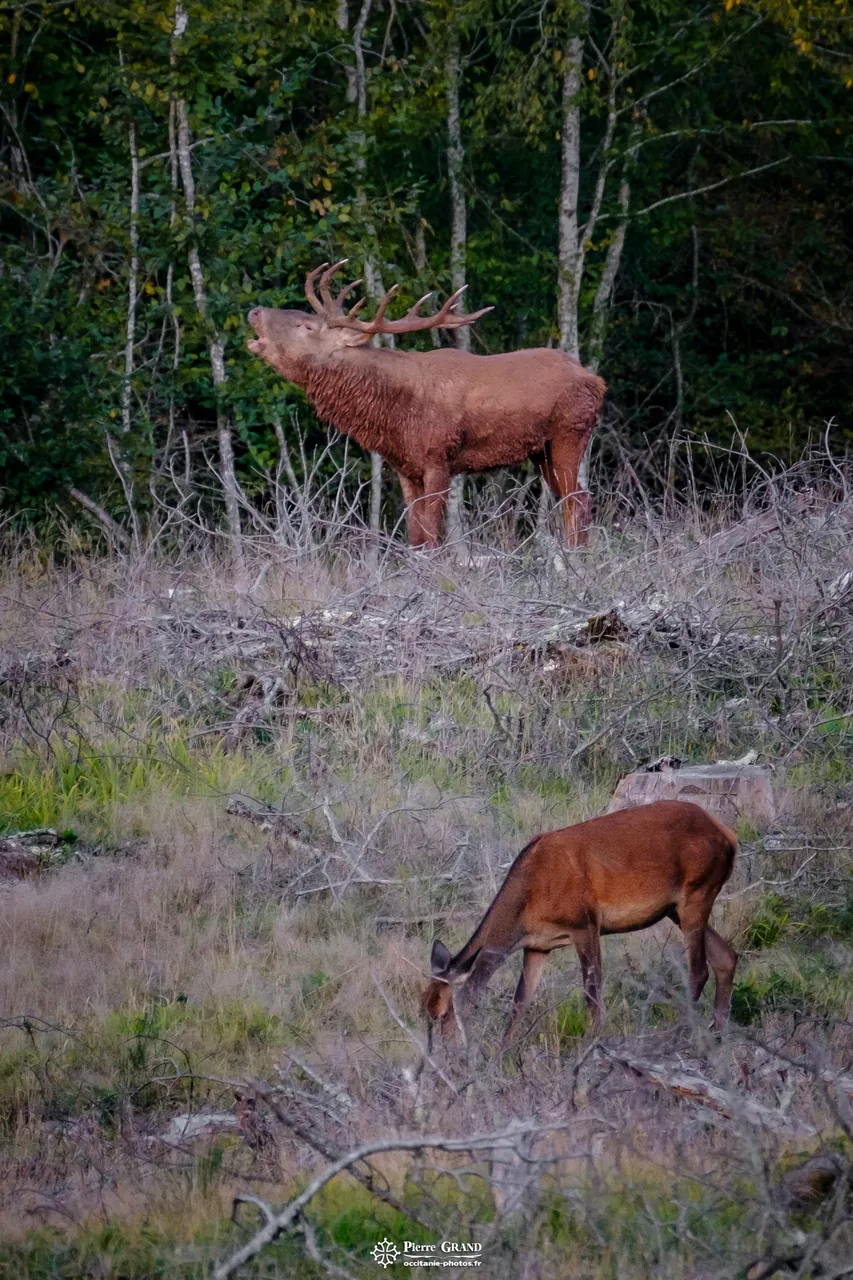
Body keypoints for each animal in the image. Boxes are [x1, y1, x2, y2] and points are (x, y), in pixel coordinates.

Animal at [247, 261, 606, 548]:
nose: (254, 312)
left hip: (570, 432)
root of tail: (596, 381)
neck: (394, 417)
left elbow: (433, 538)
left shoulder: (439, 457)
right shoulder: (406, 468)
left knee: (578, 500)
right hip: (541, 451)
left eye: (306, 325)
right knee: (572, 499)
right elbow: (416, 538)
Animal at [422, 801, 738, 1050]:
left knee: (699, 970)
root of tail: (729, 837)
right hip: (677, 908)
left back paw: (676, 1041)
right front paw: (502, 1056)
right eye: (424, 1011)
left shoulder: (585, 923)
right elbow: (519, 1002)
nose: (447, 1056)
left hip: (696, 893)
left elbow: (592, 994)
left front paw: (593, 1049)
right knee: (726, 957)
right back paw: (716, 1041)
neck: (529, 898)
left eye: (443, 1013)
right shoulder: (537, 946)